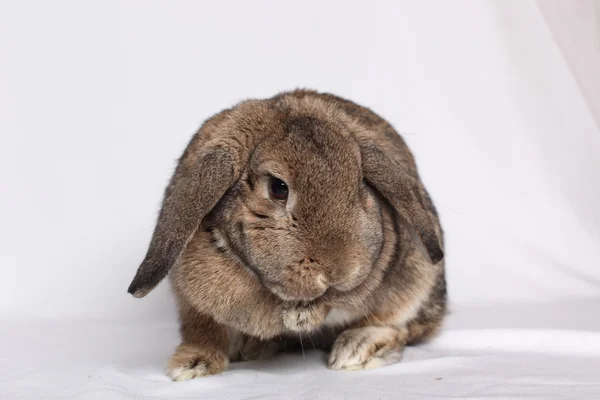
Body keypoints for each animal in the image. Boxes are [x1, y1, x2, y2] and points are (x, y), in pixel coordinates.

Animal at [127, 90, 446, 382]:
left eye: (361, 184)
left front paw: (301, 316)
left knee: (403, 327)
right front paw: (191, 365)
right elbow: (201, 328)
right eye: (278, 188)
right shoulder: (190, 299)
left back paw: (356, 349)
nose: (340, 270)